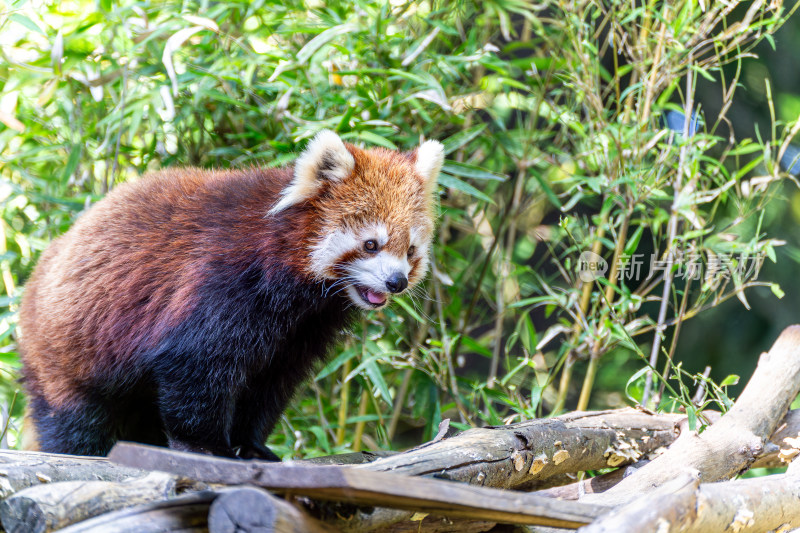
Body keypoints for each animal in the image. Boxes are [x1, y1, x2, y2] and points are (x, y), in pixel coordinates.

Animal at [18, 131, 444, 460]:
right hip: (65, 352)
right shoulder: (218, 282)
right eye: (371, 244)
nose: (397, 282)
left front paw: (251, 445)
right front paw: (207, 446)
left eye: (410, 251)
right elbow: (194, 366)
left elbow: (269, 386)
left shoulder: (301, 331)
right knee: (75, 418)